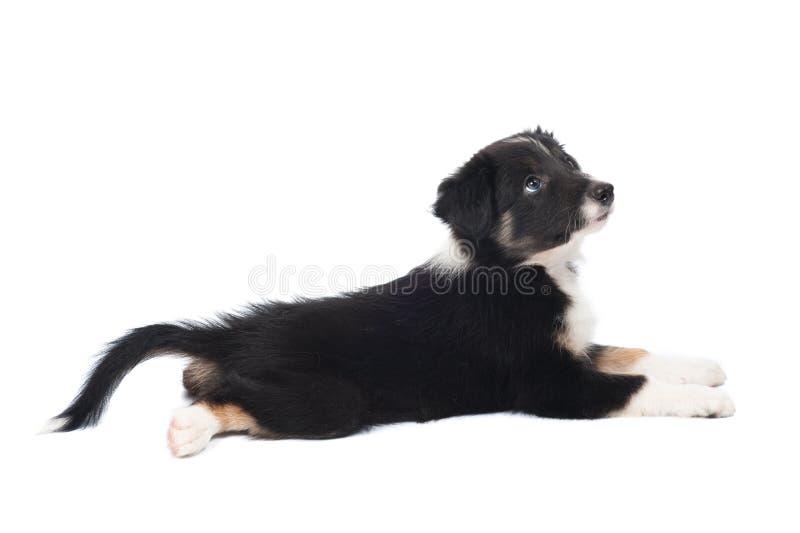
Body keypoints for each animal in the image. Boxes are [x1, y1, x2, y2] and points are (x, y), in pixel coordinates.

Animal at [42, 127, 732, 456]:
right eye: (533, 184)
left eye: (567, 162)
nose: (606, 189)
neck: (525, 268)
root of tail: (235, 332)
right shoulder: (549, 384)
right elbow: (635, 385)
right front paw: (708, 402)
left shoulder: (575, 350)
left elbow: (633, 352)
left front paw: (702, 366)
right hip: (331, 398)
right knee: (232, 400)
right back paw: (190, 428)